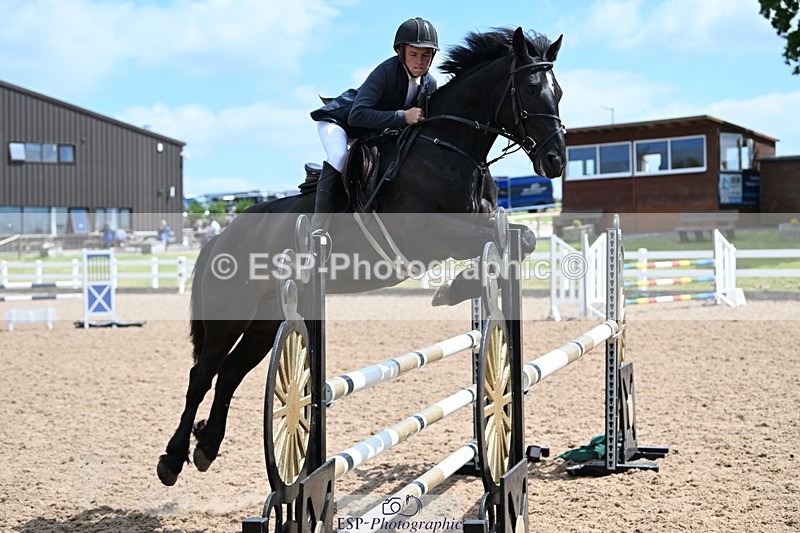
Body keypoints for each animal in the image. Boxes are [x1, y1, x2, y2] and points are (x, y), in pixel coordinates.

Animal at [157, 26, 566, 486]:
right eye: (529, 90)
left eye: (558, 92)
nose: (556, 160)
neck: (451, 148)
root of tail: (222, 236)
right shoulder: (428, 235)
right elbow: (506, 238)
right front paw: (452, 289)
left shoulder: (474, 230)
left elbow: (518, 238)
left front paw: (455, 289)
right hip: (232, 313)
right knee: (202, 375)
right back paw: (172, 459)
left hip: (266, 319)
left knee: (228, 373)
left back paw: (206, 447)